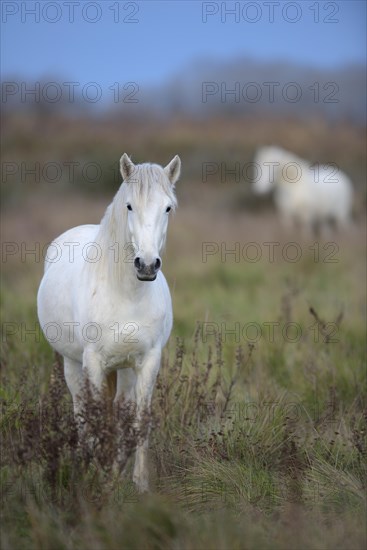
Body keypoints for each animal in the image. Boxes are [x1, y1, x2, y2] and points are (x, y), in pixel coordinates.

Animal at [37, 153, 181, 494]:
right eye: (129, 206)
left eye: (168, 207)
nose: (146, 265)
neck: (127, 293)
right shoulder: (93, 361)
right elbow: (96, 416)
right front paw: (99, 478)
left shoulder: (148, 361)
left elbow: (138, 419)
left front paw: (138, 482)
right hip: (72, 363)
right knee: (81, 411)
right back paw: (86, 463)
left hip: (125, 369)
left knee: (120, 409)